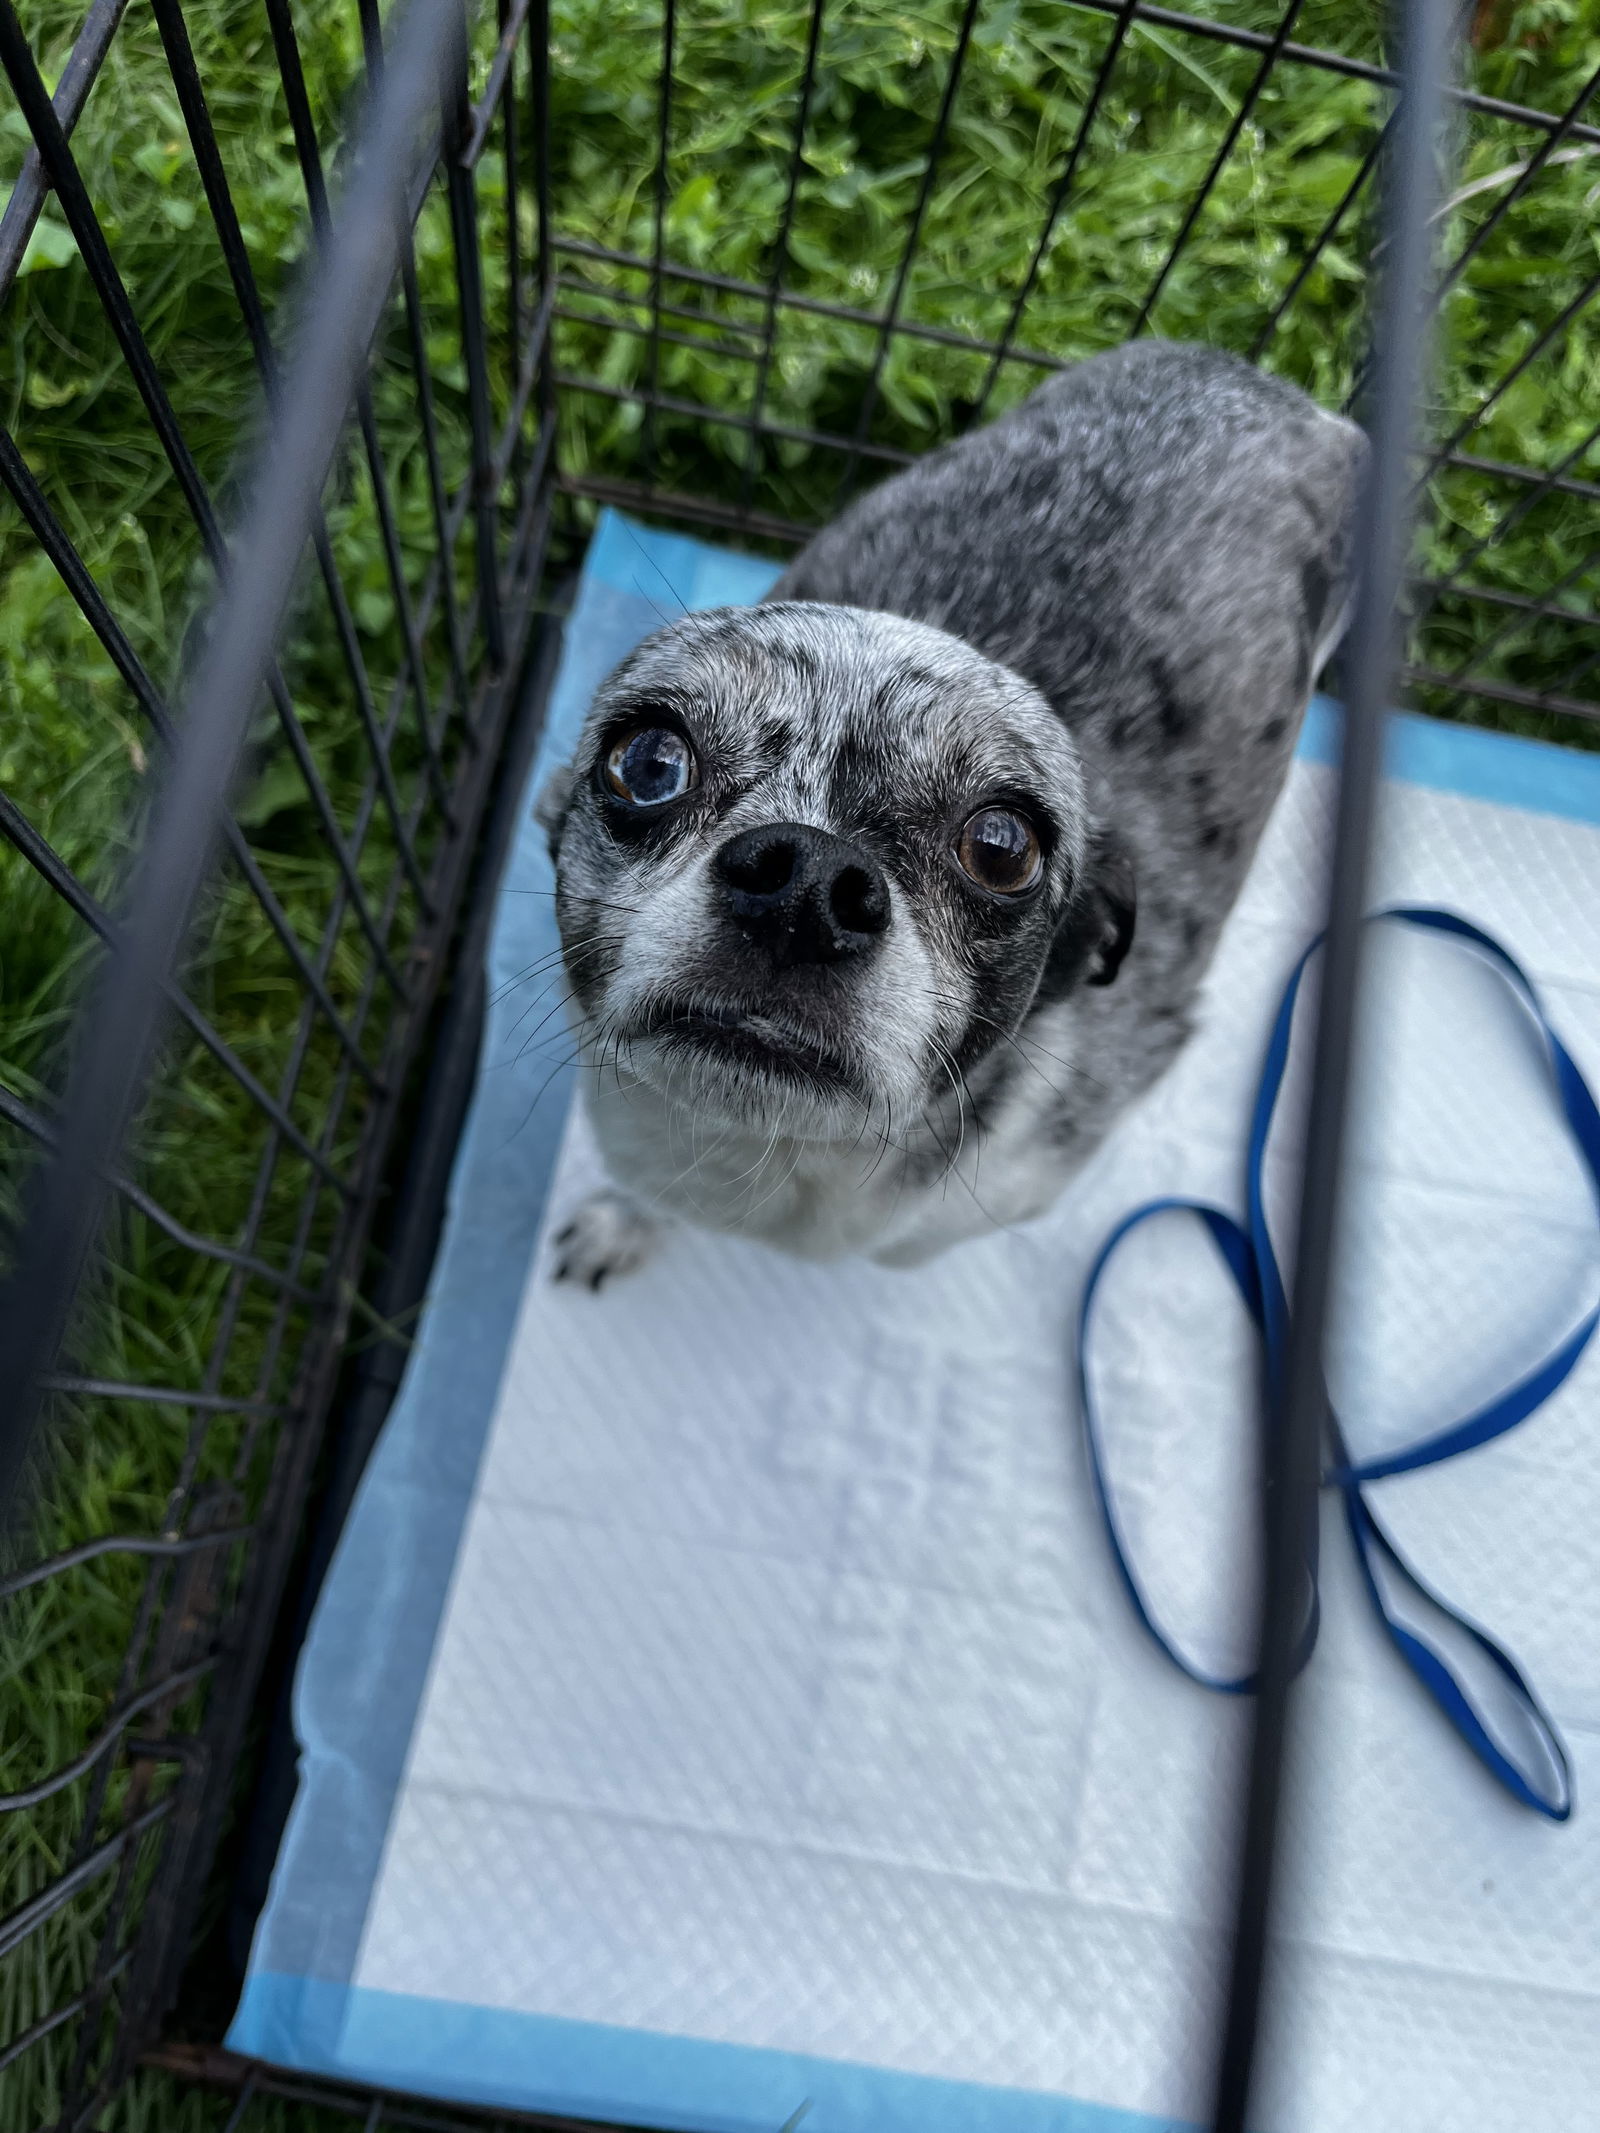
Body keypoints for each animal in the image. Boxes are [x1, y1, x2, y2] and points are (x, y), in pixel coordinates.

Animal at [539, 341, 1365, 1279]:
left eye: (1002, 846)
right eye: (650, 762)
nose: (807, 880)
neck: (770, 1163)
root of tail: (1256, 380)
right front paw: (624, 1220)